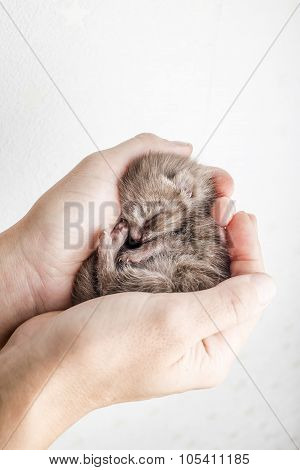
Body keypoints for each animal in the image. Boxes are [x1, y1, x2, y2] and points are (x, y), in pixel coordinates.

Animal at [71, 152, 231, 302]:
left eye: (153, 217)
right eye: (126, 218)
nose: (135, 239)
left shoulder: (197, 241)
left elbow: (161, 241)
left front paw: (137, 253)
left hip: (173, 281)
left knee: (109, 285)